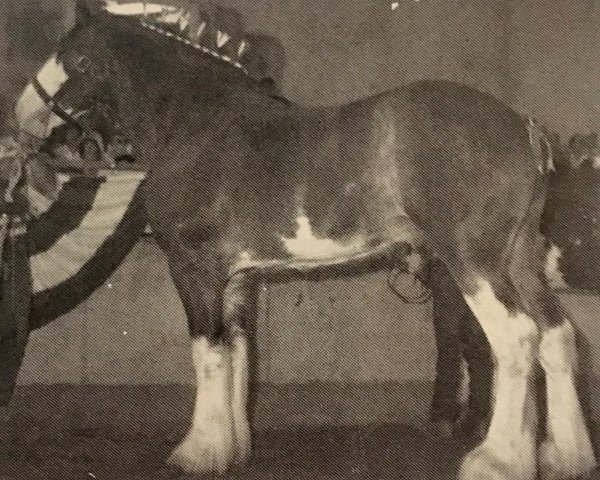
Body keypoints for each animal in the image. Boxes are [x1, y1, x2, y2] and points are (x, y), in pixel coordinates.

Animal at [11, 1, 596, 478]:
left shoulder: (193, 268)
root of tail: (523, 127)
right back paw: (563, 456)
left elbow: (206, 353)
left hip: (472, 264)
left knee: (516, 341)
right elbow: (237, 354)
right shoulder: (238, 279)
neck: (194, 124)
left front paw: (196, 453)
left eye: (76, 58)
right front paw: (233, 448)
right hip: (519, 262)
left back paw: (496, 461)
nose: (23, 115)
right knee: (556, 337)